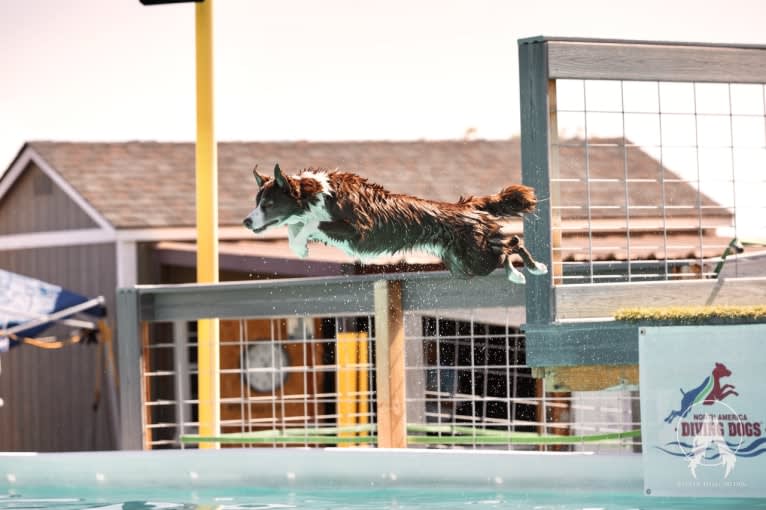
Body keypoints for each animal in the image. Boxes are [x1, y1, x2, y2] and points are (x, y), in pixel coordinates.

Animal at [243, 163, 548, 282]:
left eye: (267, 205)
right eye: (256, 202)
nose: (246, 221)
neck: (316, 194)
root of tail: (467, 207)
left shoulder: (358, 229)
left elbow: (311, 225)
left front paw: (302, 244)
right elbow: (296, 230)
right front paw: (300, 247)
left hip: (475, 257)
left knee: (512, 243)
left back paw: (531, 269)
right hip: (464, 264)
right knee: (506, 246)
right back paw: (523, 270)